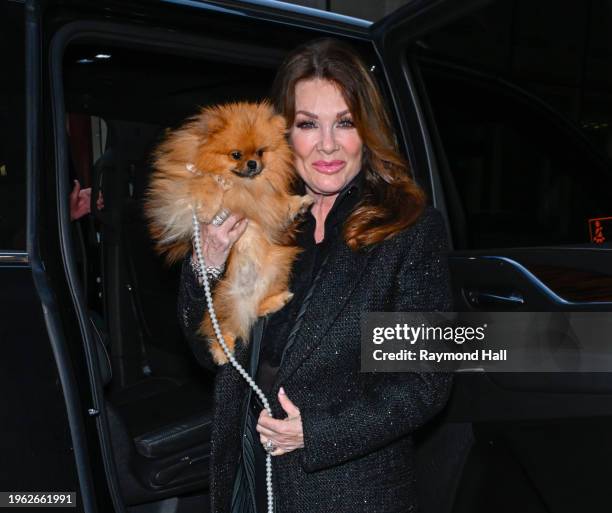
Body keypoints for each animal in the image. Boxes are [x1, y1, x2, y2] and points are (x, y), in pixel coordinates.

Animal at [146, 100, 314, 364]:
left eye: (260, 152)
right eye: (236, 154)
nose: (253, 164)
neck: (244, 186)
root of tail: (241, 296)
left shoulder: (265, 200)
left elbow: (278, 204)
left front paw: (299, 204)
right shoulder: (179, 192)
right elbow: (206, 182)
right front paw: (212, 196)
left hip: (274, 269)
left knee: (252, 309)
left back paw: (276, 301)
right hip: (216, 300)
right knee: (217, 327)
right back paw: (221, 351)